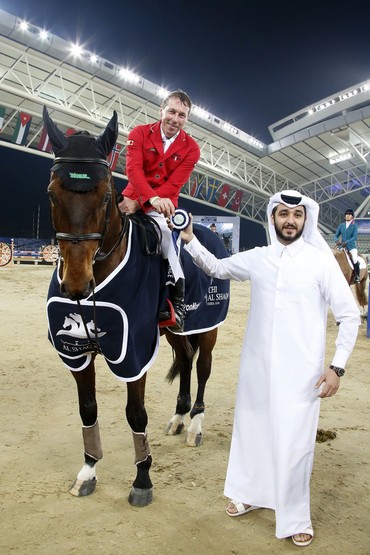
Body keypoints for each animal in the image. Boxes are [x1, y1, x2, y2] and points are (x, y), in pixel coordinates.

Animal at [42, 107, 228, 508]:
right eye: (51, 193)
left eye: (105, 196)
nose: (76, 284)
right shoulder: (77, 351)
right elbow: (88, 409)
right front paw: (88, 470)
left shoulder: (133, 352)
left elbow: (135, 414)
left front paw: (142, 479)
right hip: (173, 331)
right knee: (185, 361)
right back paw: (178, 417)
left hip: (208, 327)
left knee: (203, 368)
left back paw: (195, 424)